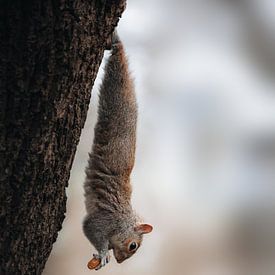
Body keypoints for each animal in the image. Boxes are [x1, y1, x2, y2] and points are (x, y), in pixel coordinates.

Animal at [83, 33, 154, 272]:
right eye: (133, 246)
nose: (121, 261)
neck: (123, 218)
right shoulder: (103, 220)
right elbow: (90, 229)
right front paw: (104, 253)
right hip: (115, 94)